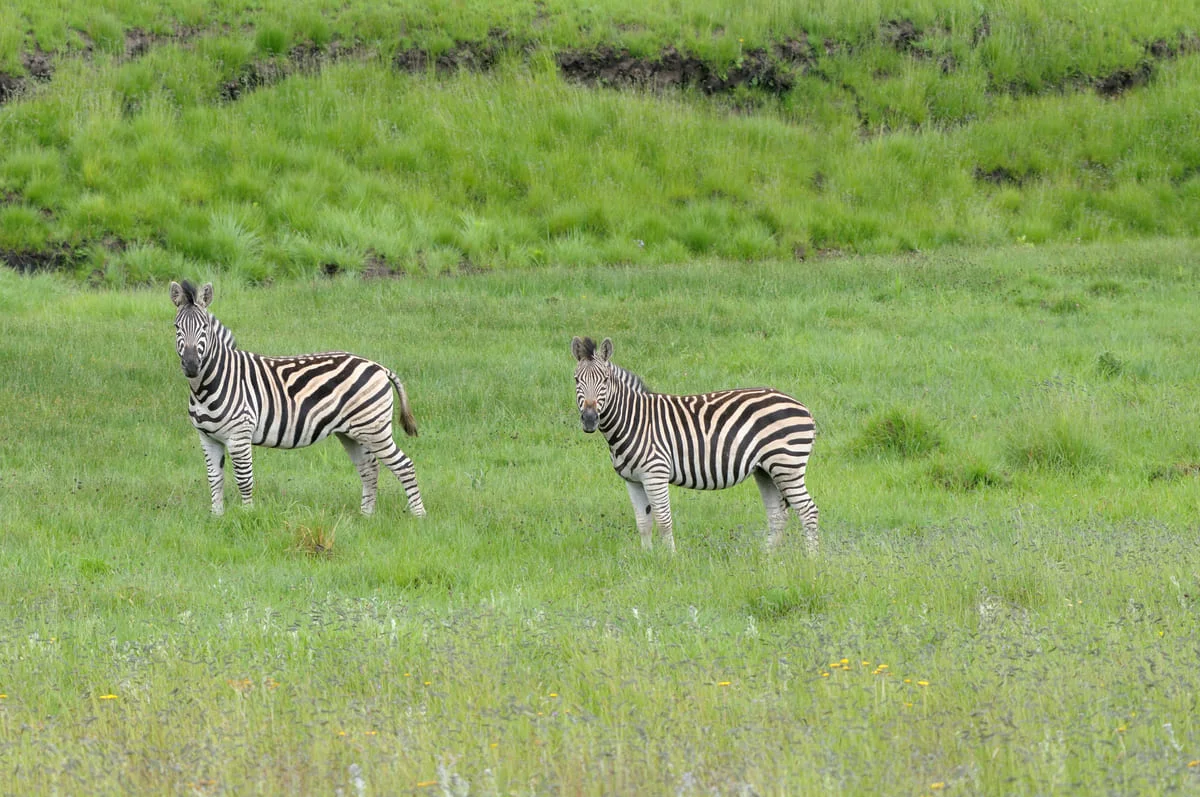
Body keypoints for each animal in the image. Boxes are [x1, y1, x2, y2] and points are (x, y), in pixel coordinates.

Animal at [170, 280, 426, 517]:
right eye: (176, 327)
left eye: (204, 327)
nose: (191, 365)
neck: (208, 385)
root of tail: (379, 367)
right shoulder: (207, 438)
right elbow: (215, 479)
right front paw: (217, 517)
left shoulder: (239, 435)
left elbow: (244, 479)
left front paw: (247, 515)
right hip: (353, 433)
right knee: (369, 469)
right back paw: (366, 517)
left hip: (374, 429)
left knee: (404, 466)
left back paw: (419, 516)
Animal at [571, 336, 818, 553]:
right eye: (576, 379)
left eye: (605, 380)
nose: (590, 419)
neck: (634, 421)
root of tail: (802, 406)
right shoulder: (633, 480)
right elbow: (643, 523)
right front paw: (646, 557)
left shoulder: (655, 474)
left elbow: (663, 521)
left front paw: (670, 559)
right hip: (765, 470)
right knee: (778, 515)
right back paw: (766, 557)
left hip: (787, 464)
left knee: (808, 511)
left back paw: (812, 560)